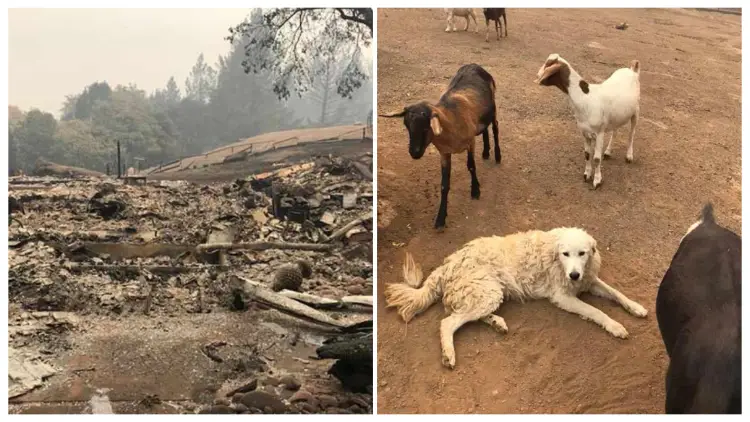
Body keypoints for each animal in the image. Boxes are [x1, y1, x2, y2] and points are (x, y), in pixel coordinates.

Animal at [384, 226, 648, 368]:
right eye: (566, 254)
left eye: (582, 253)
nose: (574, 275)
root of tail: (447, 264)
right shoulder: (563, 297)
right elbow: (597, 311)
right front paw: (615, 326)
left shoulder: (589, 280)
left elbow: (617, 293)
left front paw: (636, 307)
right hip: (487, 291)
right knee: (448, 322)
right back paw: (449, 354)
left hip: (487, 293)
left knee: (465, 315)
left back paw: (496, 322)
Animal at [536, 53, 640, 189]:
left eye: (548, 64)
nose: (537, 75)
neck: (585, 98)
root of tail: (632, 70)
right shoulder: (584, 132)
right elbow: (587, 154)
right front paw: (587, 175)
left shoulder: (599, 133)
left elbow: (596, 158)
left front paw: (597, 180)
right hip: (616, 115)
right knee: (615, 130)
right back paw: (608, 152)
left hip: (636, 111)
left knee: (632, 133)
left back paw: (629, 156)